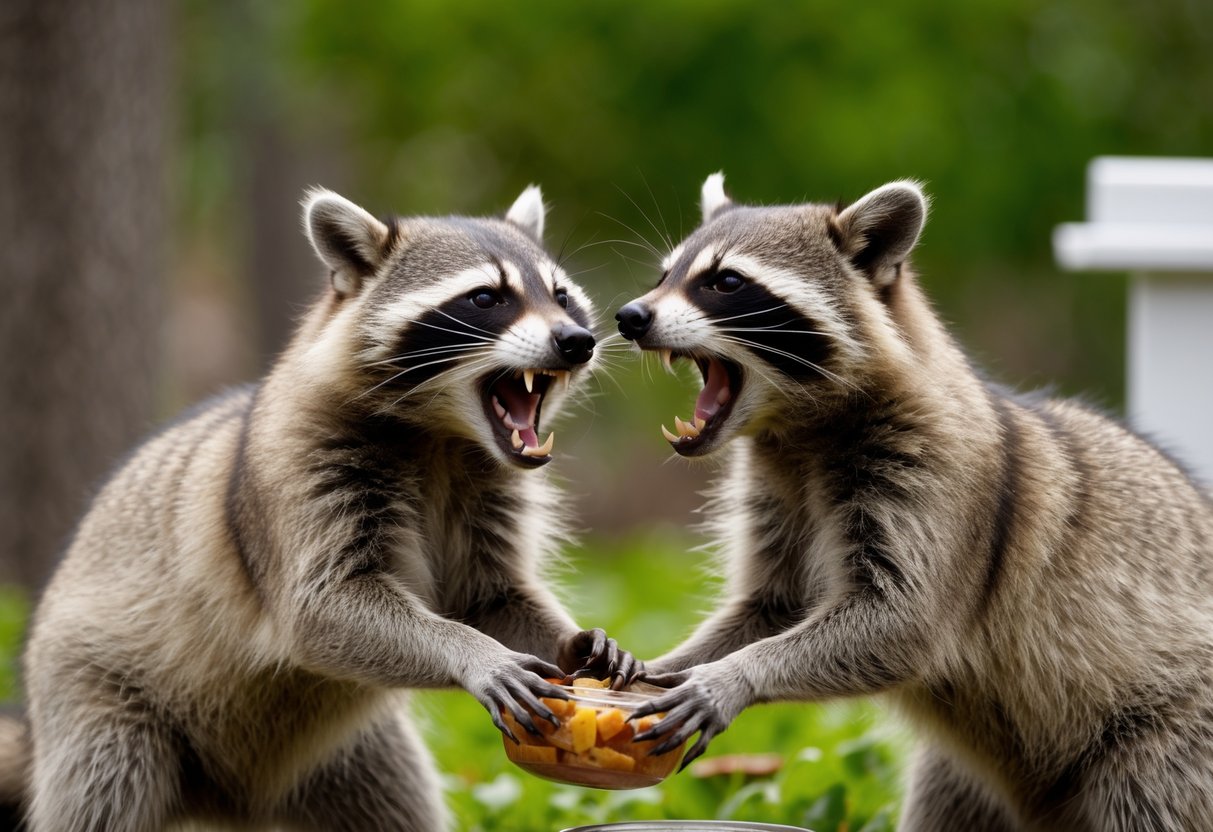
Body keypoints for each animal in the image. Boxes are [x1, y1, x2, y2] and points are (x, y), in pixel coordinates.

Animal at [19, 186, 639, 831]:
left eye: (561, 296)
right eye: (486, 298)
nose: (577, 341)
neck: (443, 435)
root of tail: (232, 802)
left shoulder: (489, 488)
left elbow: (487, 595)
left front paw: (573, 642)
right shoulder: (300, 469)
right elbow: (321, 608)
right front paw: (471, 650)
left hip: (353, 760)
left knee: (396, 804)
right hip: (93, 692)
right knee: (105, 780)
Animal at [618, 174, 1213, 831]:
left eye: (725, 282)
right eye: (665, 274)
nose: (629, 316)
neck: (796, 433)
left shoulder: (938, 480)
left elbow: (902, 623)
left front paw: (735, 675)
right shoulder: (777, 490)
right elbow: (771, 605)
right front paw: (659, 664)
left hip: (1174, 732)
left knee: (1151, 794)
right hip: (967, 778)